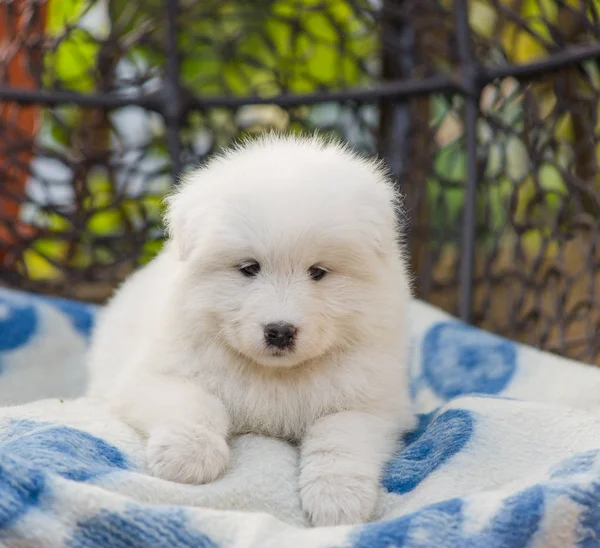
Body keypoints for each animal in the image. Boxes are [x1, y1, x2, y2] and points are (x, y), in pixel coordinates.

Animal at [86, 134, 414, 528]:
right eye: (249, 268)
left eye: (318, 272)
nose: (280, 331)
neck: (274, 375)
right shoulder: (149, 378)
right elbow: (196, 401)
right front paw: (188, 456)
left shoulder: (376, 405)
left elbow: (338, 435)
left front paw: (337, 499)